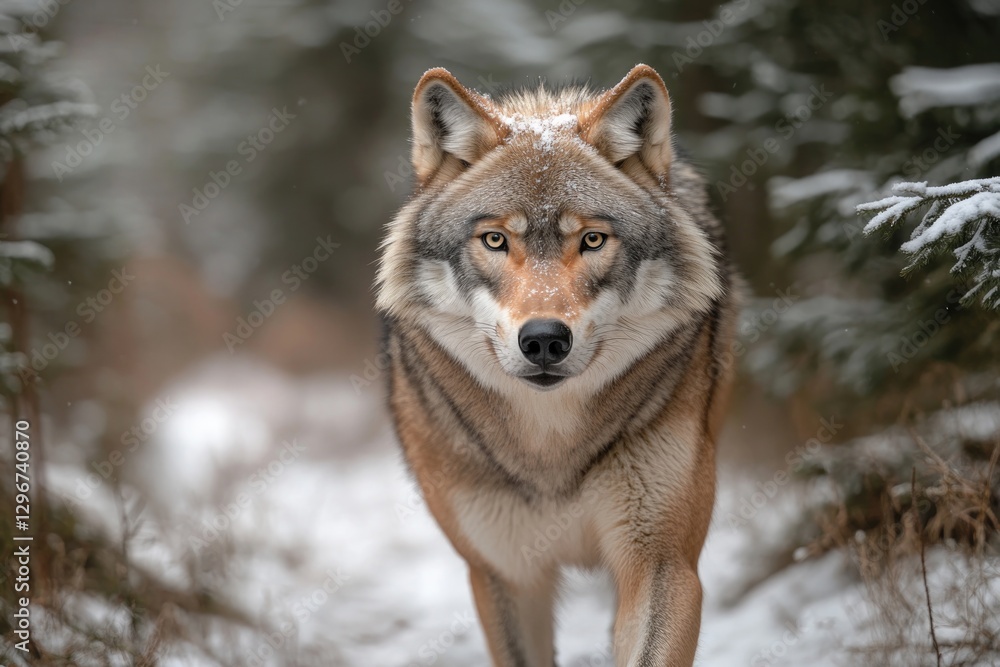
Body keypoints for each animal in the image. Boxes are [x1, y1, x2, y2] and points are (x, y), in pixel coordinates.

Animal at [376, 64, 739, 667]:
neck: (551, 452)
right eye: (495, 239)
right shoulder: (503, 573)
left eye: (592, 239)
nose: (544, 339)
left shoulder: (664, 564)